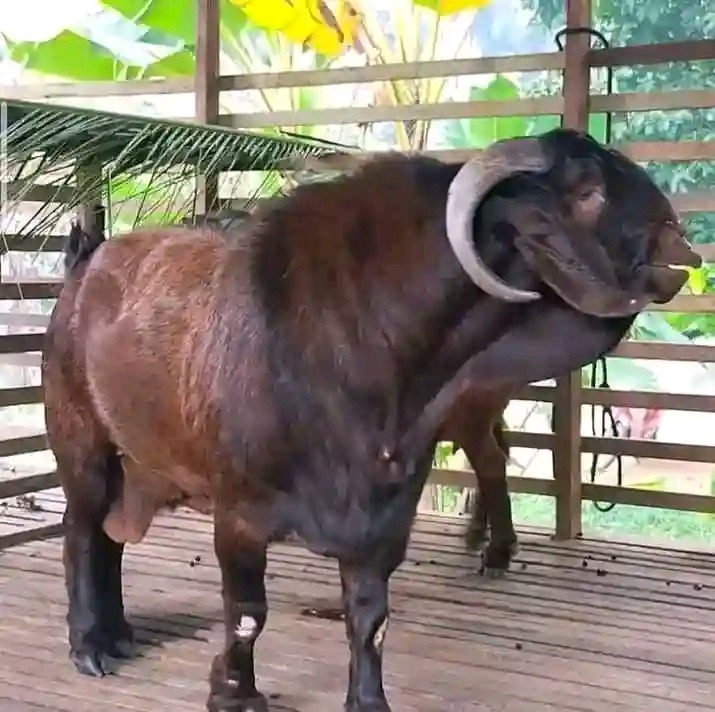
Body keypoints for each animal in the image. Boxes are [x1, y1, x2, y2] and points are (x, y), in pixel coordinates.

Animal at [42, 129, 699, 712]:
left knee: (109, 541)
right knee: (81, 534)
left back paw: (119, 634)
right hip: (82, 446)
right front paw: (235, 693)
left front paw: (367, 699)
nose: (683, 248)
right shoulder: (238, 514)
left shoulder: (386, 516)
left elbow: (369, 619)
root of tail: (83, 265)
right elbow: (247, 614)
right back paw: (88, 645)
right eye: (587, 191)